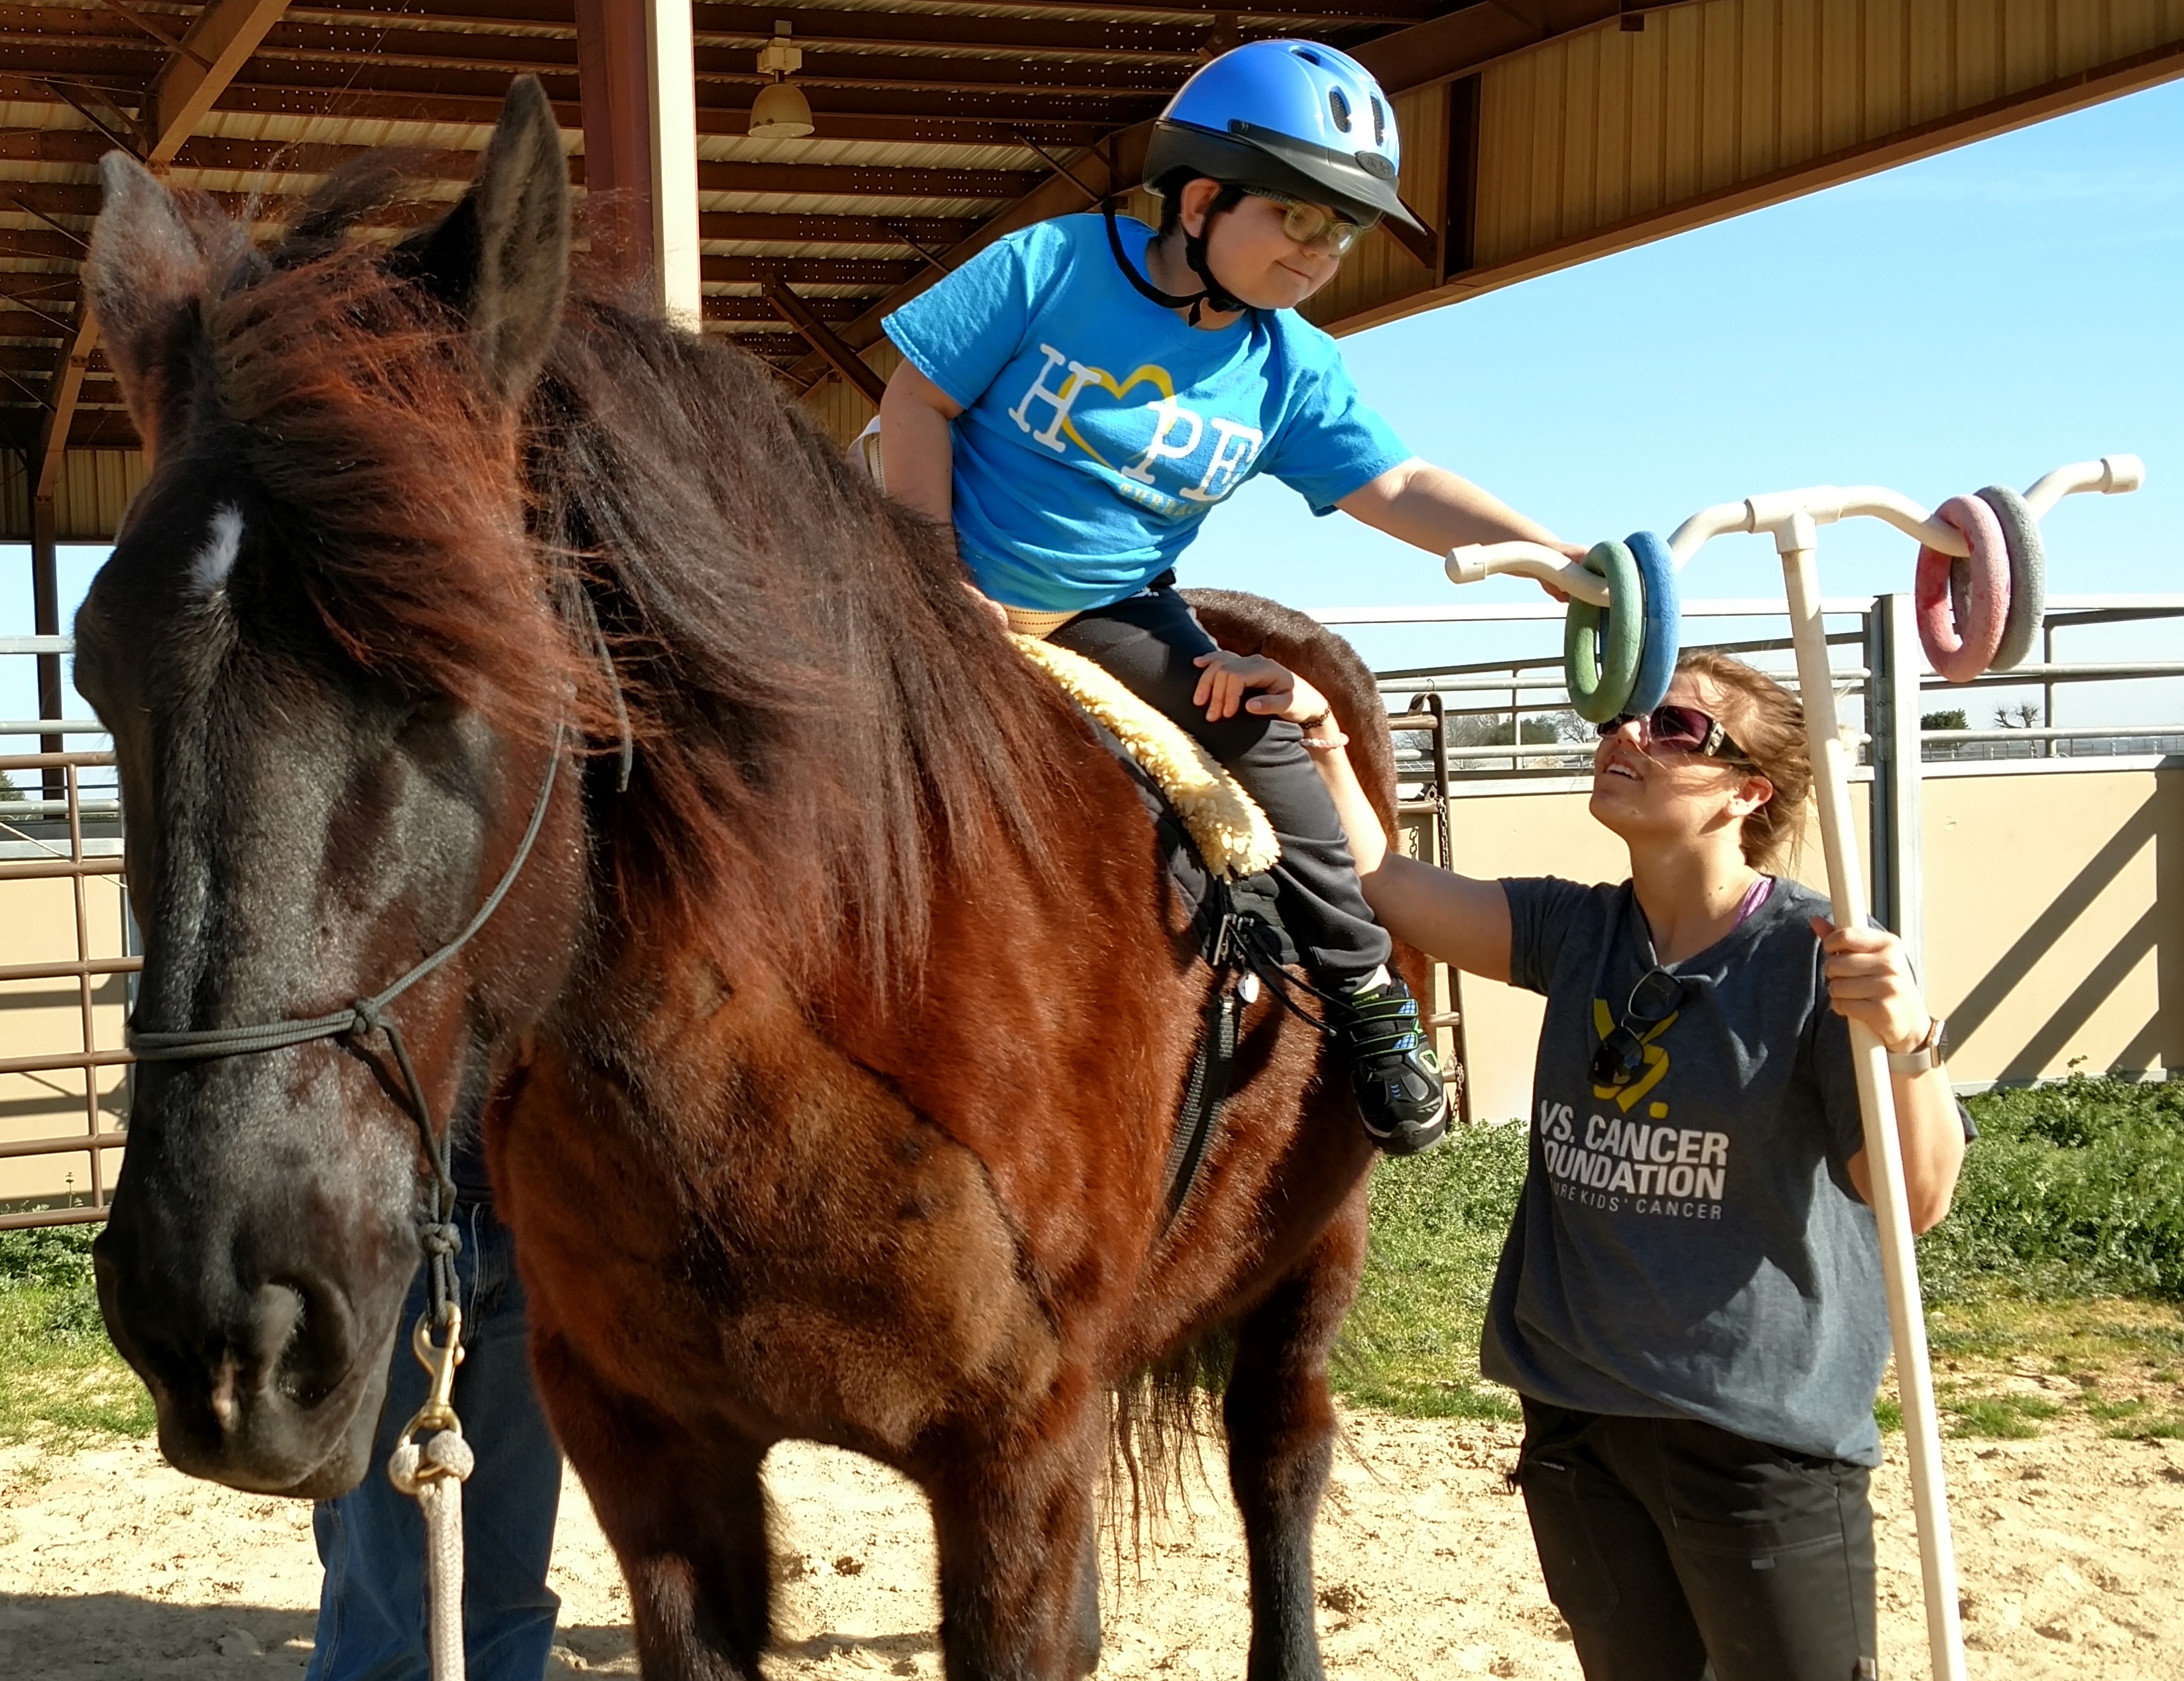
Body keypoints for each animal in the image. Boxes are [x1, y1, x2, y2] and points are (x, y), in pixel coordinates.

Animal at [80, 78, 1432, 1676]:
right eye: (96, 678)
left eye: (470, 667)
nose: (220, 1326)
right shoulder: (651, 1458)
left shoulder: (1018, 1464)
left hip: (1315, 1255)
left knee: (1279, 1460)